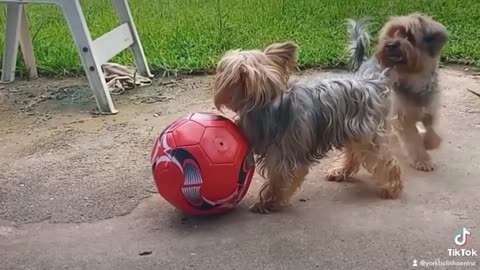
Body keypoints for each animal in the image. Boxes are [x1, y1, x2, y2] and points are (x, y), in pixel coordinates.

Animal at [213, 41, 402, 213]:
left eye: (221, 70)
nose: (217, 69)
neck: (268, 103)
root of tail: (372, 82)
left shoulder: (283, 156)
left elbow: (278, 179)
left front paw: (268, 203)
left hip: (368, 134)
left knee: (386, 159)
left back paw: (392, 187)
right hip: (352, 130)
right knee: (354, 153)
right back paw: (340, 171)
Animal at [346, 13, 448, 170]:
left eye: (409, 36)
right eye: (391, 33)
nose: (390, 45)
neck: (415, 80)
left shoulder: (429, 109)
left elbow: (431, 130)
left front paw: (429, 143)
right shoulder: (403, 118)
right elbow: (413, 140)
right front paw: (422, 160)